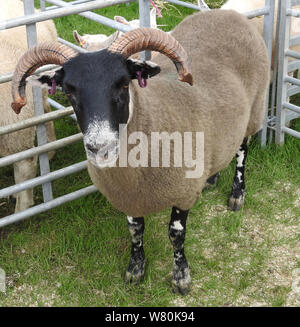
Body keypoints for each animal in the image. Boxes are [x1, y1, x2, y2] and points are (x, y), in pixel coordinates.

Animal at [11, 10, 270, 298]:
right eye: (68, 91)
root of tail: (228, 13)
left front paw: (181, 277)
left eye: (124, 84)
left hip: (254, 109)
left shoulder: (182, 192)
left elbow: (176, 235)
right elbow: (135, 231)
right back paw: (211, 178)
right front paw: (135, 269)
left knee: (242, 151)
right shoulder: (129, 197)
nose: (99, 147)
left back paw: (237, 194)